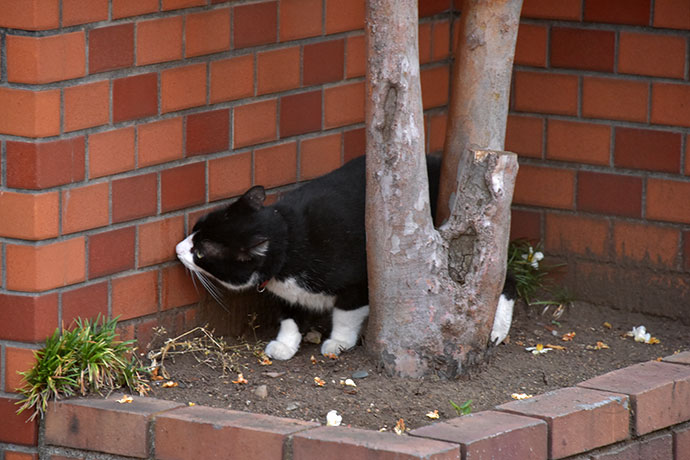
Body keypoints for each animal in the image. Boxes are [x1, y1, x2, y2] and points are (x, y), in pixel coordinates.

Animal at [175, 156, 512, 362]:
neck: (290, 238)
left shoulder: (359, 278)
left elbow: (346, 312)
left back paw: (497, 329)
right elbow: (289, 315)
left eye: (201, 252)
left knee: (497, 275)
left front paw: (339, 341)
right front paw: (285, 344)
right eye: (195, 229)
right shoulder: (286, 292)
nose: (178, 249)